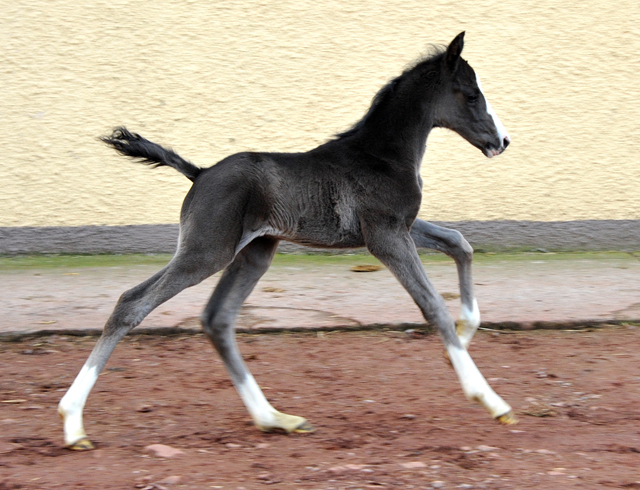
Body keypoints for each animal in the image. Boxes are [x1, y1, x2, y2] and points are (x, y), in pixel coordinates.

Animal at [58, 30, 516, 450]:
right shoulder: (385, 237)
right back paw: (72, 422)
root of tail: (199, 173)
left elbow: (459, 242)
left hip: (253, 253)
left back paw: (275, 418)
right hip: (206, 252)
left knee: (217, 319)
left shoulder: (401, 227)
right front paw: (489, 399)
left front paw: (466, 333)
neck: (381, 155)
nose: (502, 141)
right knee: (132, 303)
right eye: (471, 95)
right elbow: (433, 306)